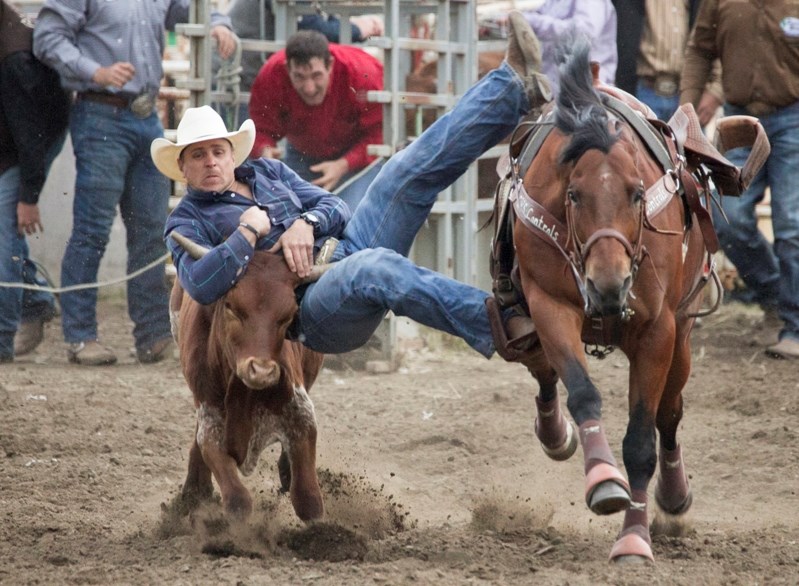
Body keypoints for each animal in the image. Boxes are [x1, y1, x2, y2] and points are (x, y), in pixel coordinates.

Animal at [510, 40, 720, 560]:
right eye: (573, 195)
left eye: (638, 193)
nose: (609, 285)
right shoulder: (548, 305)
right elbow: (581, 390)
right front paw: (603, 478)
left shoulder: (657, 331)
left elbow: (643, 437)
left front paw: (634, 537)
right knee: (543, 371)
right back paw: (555, 434)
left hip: (682, 337)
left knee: (670, 413)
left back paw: (674, 495)